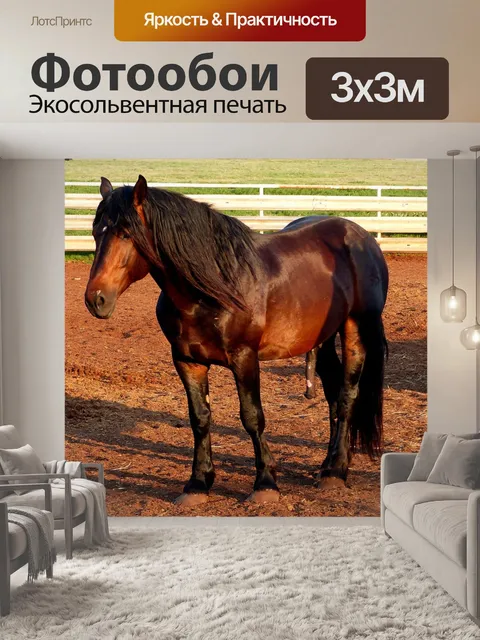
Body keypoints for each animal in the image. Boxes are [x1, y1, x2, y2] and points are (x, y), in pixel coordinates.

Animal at [85, 175, 389, 506]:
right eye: (95, 231)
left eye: (126, 234)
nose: (96, 299)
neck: (211, 290)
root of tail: (362, 237)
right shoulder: (187, 361)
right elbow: (199, 419)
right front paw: (197, 483)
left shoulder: (244, 357)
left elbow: (252, 417)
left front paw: (265, 483)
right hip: (322, 337)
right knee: (333, 392)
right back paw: (328, 464)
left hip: (356, 328)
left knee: (347, 395)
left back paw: (336, 472)